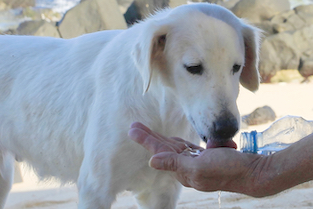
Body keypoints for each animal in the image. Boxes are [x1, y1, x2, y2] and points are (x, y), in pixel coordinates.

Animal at [0, 3, 260, 209]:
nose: (226, 129)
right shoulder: (95, 189)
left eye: (237, 67)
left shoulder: (161, 190)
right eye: (193, 68)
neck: (160, 111)